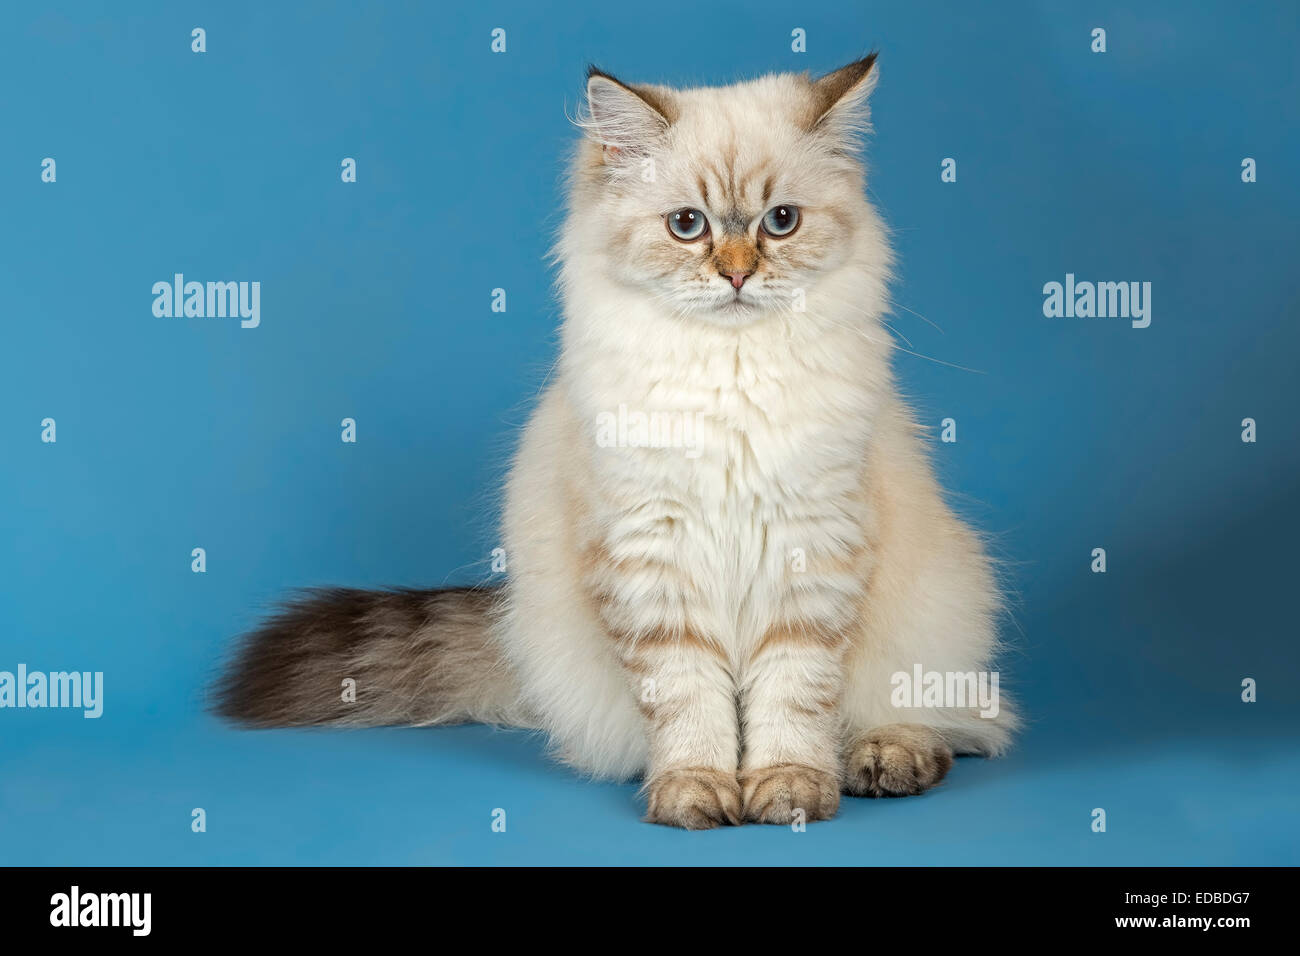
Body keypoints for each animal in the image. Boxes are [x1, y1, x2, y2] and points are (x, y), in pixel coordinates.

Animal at [218, 54, 1019, 832]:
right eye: (688, 225)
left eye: (781, 222)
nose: (737, 274)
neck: (730, 375)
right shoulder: (651, 553)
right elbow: (691, 704)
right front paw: (697, 793)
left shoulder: (810, 549)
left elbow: (791, 699)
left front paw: (788, 790)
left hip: (938, 610)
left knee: (959, 723)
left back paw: (884, 758)